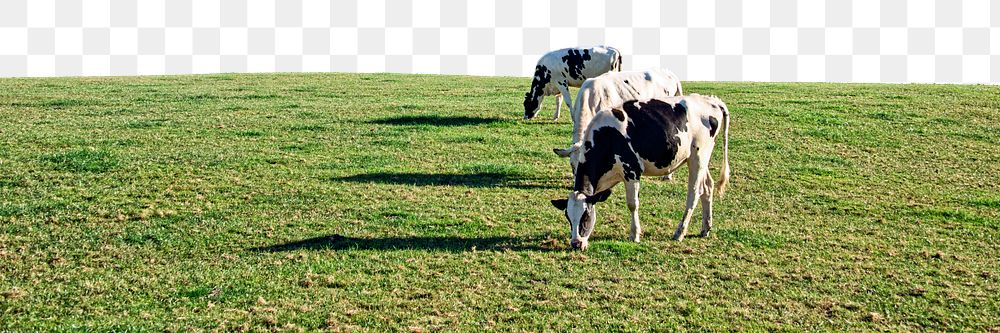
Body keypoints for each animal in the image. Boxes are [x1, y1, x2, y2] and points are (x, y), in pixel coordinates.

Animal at [552, 93, 732, 249]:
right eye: (568, 218)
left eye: (586, 216)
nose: (576, 243)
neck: (608, 137)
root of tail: (712, 100)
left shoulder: (632, 172)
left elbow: (632, 204)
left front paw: (635, 235)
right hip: (699, 159)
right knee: (708, 187)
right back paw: (706, 227)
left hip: (698, 157)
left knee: (694, 194)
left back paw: (680, 232)